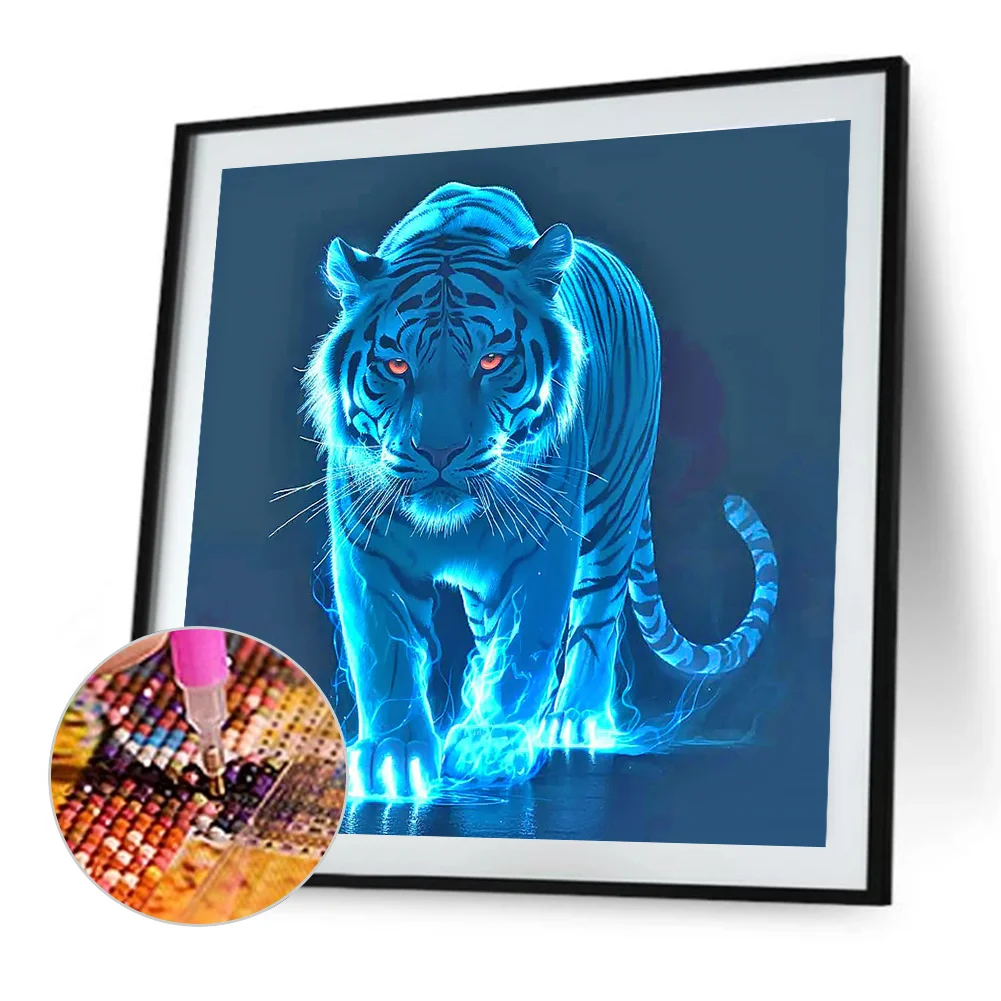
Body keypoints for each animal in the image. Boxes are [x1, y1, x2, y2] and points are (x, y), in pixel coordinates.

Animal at [304, 182, 778, 799]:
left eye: (491, 360)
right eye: (397, 365)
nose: (439, 452)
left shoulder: (545, 541)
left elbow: (528, 641)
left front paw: (489, 746)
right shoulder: (369, 547)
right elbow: (384, 650)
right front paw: (394, 756)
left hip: (612, 511)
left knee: (598, 613)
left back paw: (574, 718)